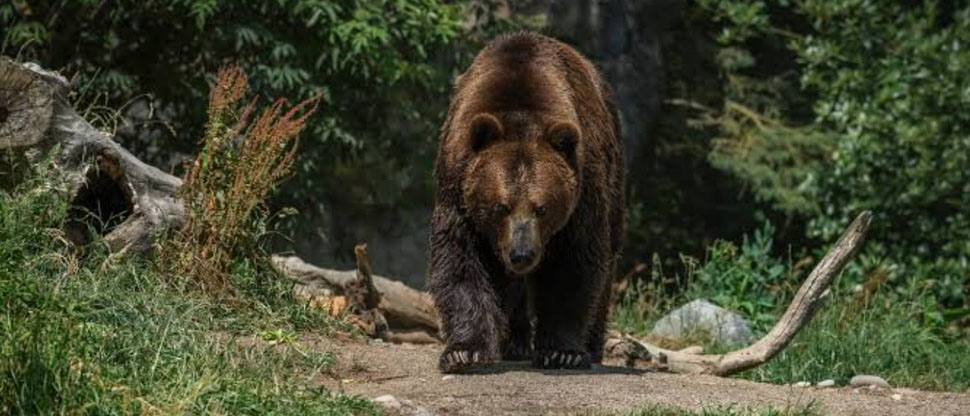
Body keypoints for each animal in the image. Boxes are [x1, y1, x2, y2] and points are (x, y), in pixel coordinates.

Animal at [427, 31, 625, 373]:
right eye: (500, 206)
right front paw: (465, 351)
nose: (522, 254)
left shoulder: (583, 190)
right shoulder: (457, 184)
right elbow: (459, 258)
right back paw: (514, 342)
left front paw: (562, 352)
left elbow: (575, 263)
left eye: (542, 207)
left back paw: (590, 346)